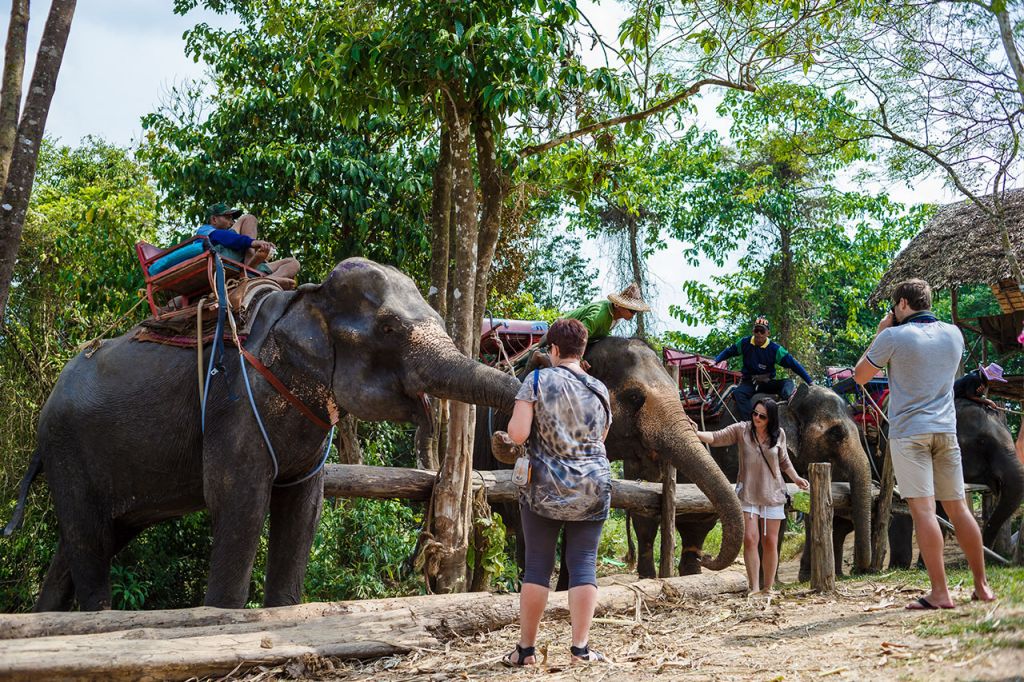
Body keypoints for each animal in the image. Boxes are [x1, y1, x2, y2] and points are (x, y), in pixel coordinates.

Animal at [6, 258, 520, 606]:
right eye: (390, 328)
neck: (305, 298)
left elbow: (303, 510)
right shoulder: (235, 403)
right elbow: (242, 505)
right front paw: (221, 617)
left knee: (86, 541)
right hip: (67, 448)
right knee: (88, 538)